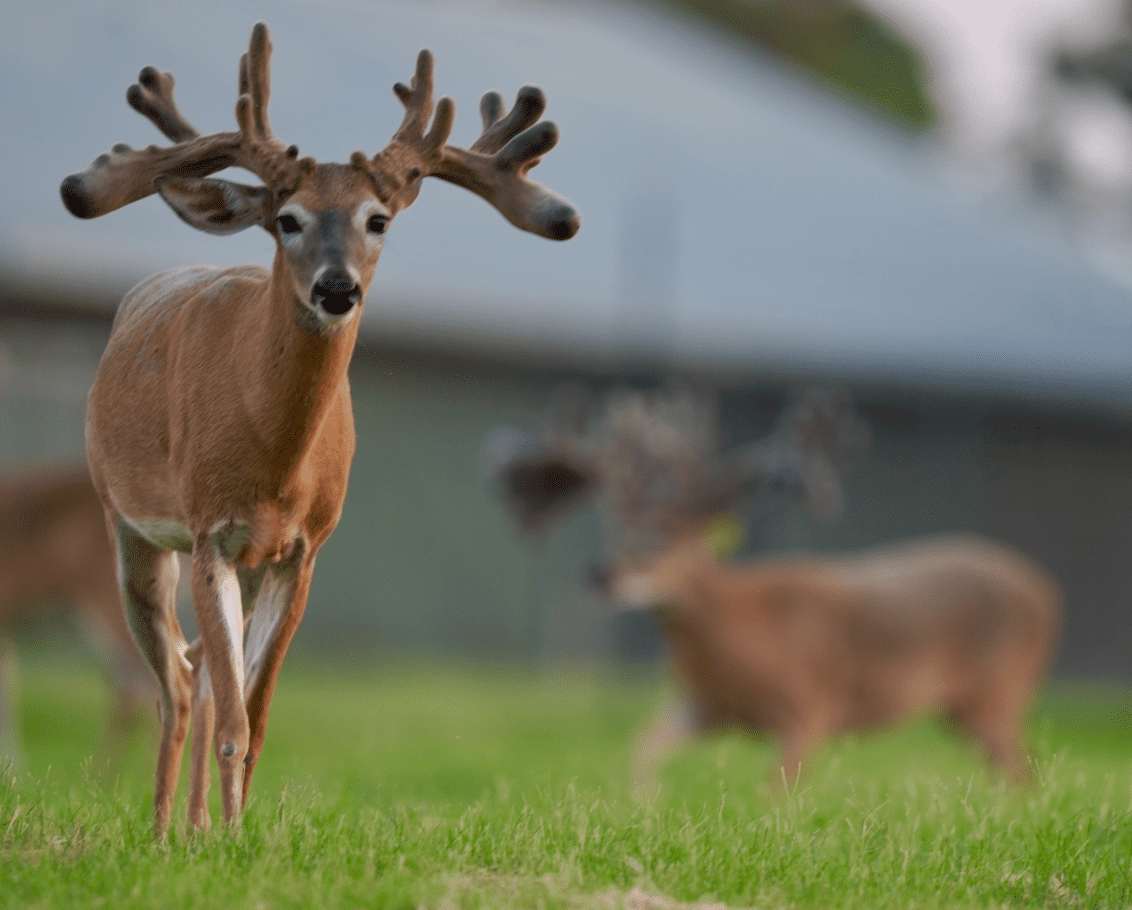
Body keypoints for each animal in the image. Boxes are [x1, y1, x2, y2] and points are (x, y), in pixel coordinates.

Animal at [61, 22, 578, 837]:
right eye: (288, 219)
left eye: (378, 220)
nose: (338, 288)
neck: (276, 463)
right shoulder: (209, 529)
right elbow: (235, 719)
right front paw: (226, 838)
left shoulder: (302, 549)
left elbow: (257, 714)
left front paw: (235, 836)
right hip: (130, 527)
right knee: (172, 683)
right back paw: (160, 829)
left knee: (198, 671)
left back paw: (194, 826)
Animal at [488, 387, 1061, 789]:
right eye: (614, 530)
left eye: (668, 538)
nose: (602, 574)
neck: (737, 629)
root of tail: (1045, 590)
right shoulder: (705, 707)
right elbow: (642, 747)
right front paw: (642, 804)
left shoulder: (812, 707)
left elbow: (774, 789)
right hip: (969, 710)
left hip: (998, 691)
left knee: (1022, 771)